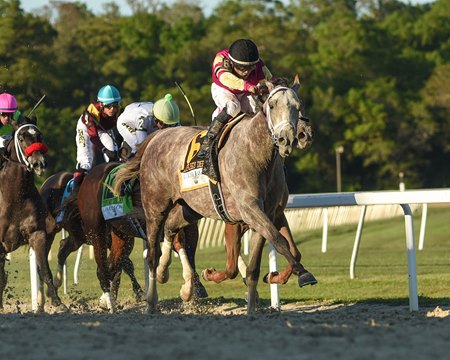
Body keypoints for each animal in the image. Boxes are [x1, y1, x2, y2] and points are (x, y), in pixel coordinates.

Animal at [0, 121, 66, 312]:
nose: (38, 163)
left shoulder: (38, 234)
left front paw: (57, 302)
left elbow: (44, 270)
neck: (14, 196)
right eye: (21, 138)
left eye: (39, 135)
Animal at [39, 170, 146, 302]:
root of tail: (47, 182)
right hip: (53, 231)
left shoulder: (123, 240)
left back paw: (56, 282)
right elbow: (123, 264)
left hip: (78, 236)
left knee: (63, 248)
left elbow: (124, 264)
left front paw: (133, 293)